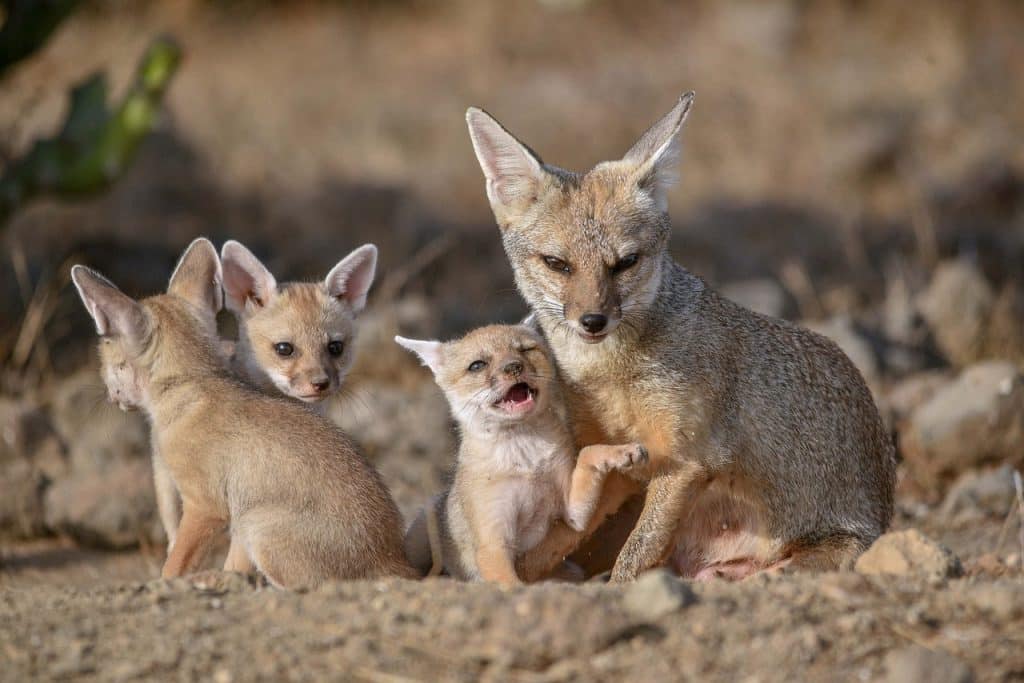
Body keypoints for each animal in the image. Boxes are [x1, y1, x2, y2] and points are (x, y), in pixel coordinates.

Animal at [71, 238, 415, 587]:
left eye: (107, 362)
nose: (109, 395)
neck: (197, 383)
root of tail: (394, 557)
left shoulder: (206, 506)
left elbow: (173, 566)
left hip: (253, 523)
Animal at [396, 325, 648, 585]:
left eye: (526, 350)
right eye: (477, 365)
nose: (514, 366)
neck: (525, 458)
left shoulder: (574, 516)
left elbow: (589, 452)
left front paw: (622, 451)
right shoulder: (493, 544)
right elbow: (511, 584)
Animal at [465, 93, 896, 582]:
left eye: (626, 262)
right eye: (557, 264)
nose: (593, 320)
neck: (609, 377)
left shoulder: (686, 462)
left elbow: (633, 555)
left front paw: (615, 590)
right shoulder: (619, 468)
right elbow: (564, 533)